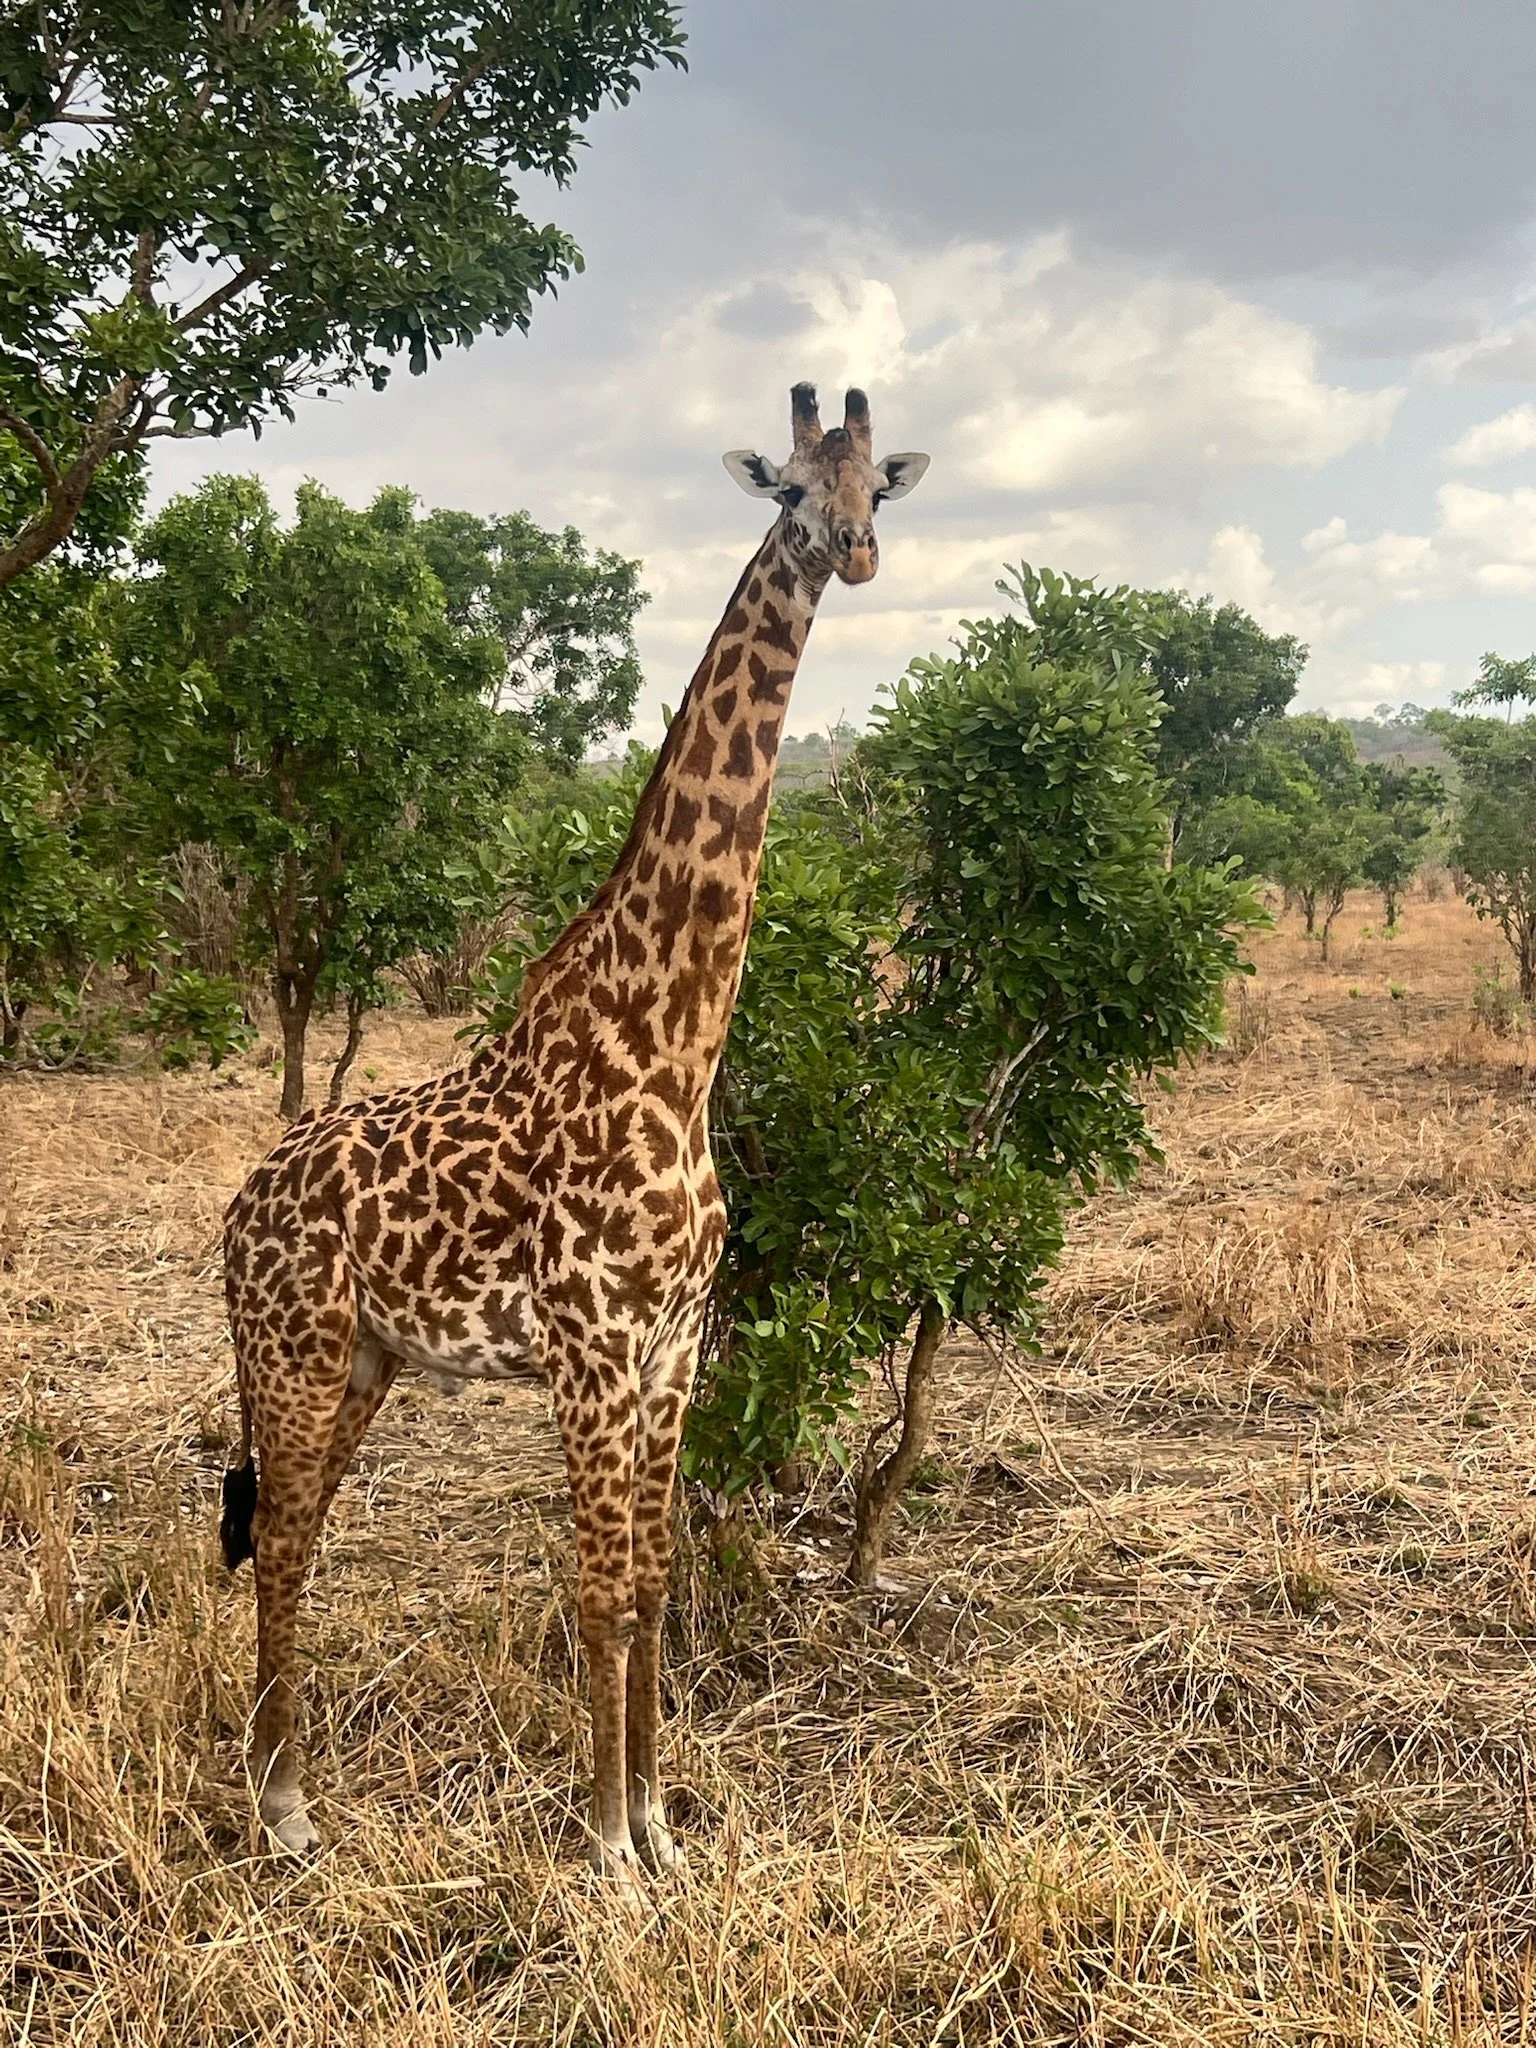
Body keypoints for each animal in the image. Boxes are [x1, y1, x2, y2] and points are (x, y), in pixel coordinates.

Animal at [218, 383, 929, 1882]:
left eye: (876, 489)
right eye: (789, 488)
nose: (850, 553)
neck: (672, 1041)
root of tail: (236, 1211)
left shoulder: (669, 1350)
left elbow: (653, 1585)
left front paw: (663, 1828)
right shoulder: (592, 1350)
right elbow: (600, 1591)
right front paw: (605, 1845)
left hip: (364, 1359)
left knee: (292, 1527)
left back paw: (278, 1787)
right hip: (294, 1351)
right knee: (285, 1539)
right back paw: (285, 1809)